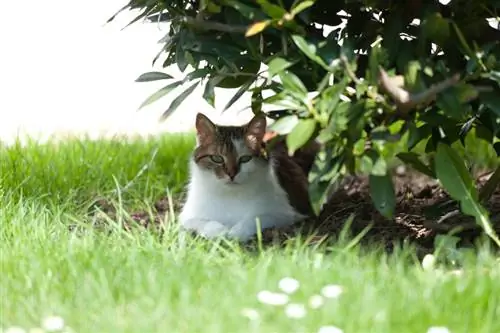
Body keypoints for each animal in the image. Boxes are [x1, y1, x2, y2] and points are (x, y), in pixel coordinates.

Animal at [180, 113, 318, 240]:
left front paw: (236, 233)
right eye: (217, 158)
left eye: (245, 159)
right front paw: (220, 232)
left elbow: (256, 219)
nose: (231, 174)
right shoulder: (187, 216)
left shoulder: (286, 214)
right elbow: (205, 223)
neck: (230, 195)